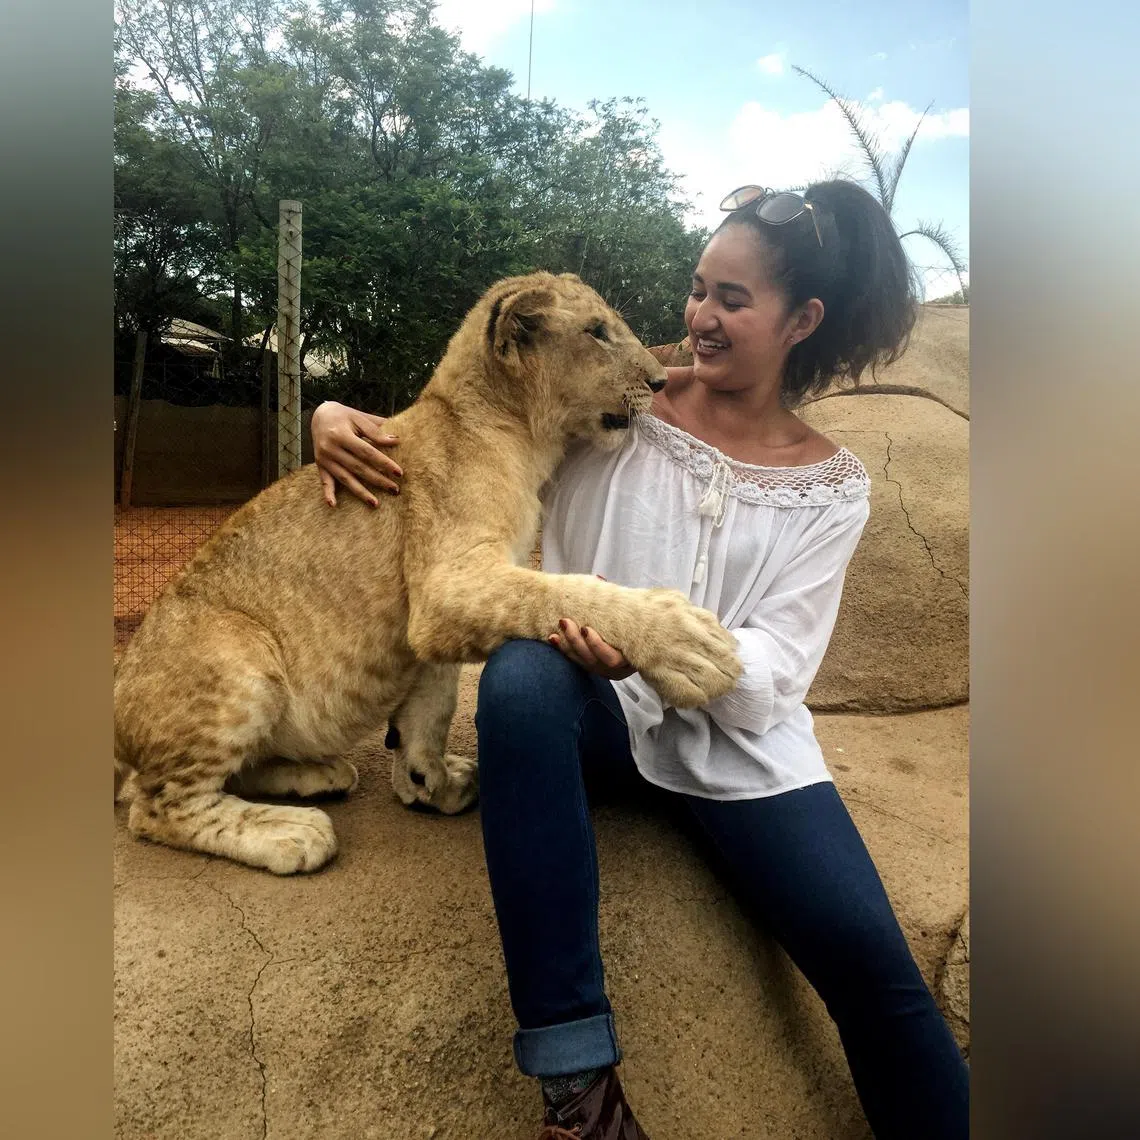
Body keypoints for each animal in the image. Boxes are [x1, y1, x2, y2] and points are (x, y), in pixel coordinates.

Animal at [114, 272, 743, 874]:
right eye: (596, 332)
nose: (660, 383)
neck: (518, 435)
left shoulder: (435, 616)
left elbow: (433, 704)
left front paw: (428, 781)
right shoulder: (446, 583)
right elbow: (565, 592)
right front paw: (687, 644)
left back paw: (319, 774)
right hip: (237, 654)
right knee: (153, 803)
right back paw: (291, 830)